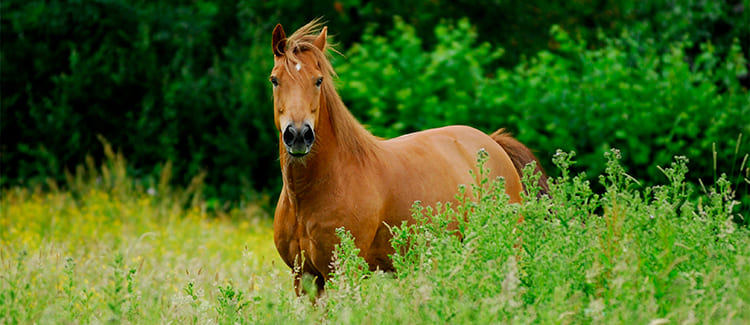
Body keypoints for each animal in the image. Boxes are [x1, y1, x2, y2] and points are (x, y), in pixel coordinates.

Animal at [272, 19, 552, 294]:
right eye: (275, 80)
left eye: (318, 80)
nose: (299, 135)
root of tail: (493, 143)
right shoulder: (304, 279)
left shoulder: (342, 273)